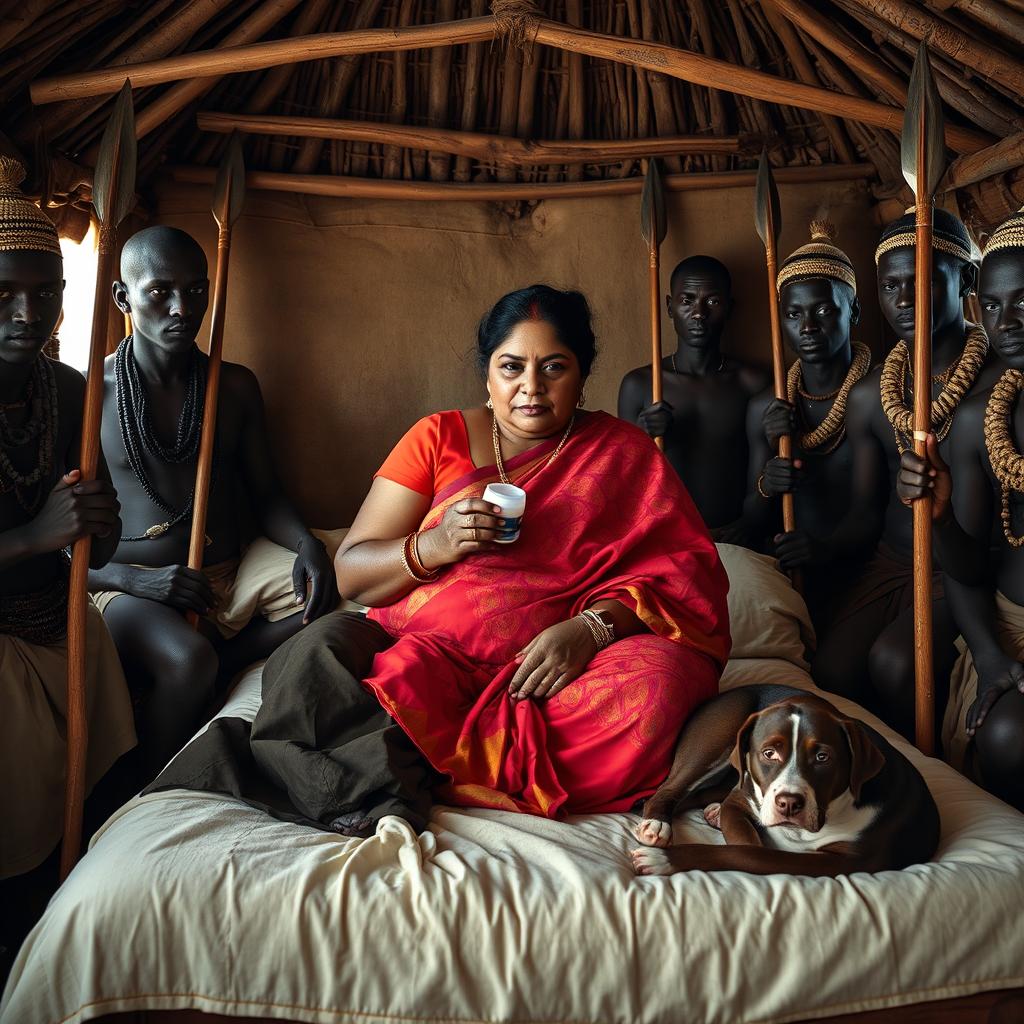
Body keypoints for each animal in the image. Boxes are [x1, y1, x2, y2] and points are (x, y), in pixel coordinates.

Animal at [634, 684, 937, 876]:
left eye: (823, 757)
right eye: (769, 753)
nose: (789, 803)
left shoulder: (845, 861)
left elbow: (747, 853)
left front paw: (665, 860)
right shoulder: (739, 800)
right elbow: (746, 844)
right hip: (719, 734)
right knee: (668, 790)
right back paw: (657, 824)